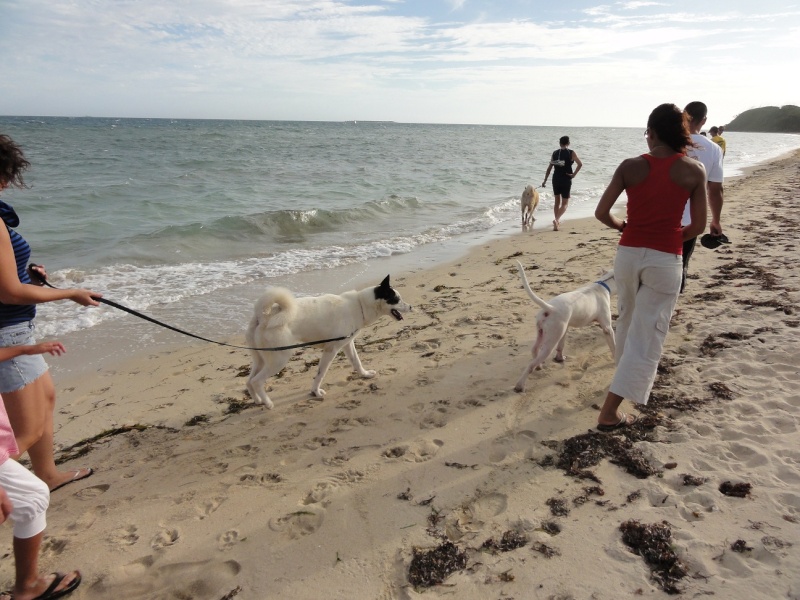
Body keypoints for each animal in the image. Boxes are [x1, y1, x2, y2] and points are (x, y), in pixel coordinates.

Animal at [245, 276, 412, 408]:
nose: (411, 306)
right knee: (257, 381)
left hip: (261, 358)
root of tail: (263, 316)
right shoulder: (331, 350)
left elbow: (356, 362)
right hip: (279, 359)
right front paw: (315, 392)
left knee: (249, 380)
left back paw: (258, 400)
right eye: (396, 299)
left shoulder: (347, 344)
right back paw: (268, 403)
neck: (360, 305)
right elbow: (321, 374)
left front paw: (364, 374)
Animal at [512, 258, 620, 392]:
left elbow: (561, 345)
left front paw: (559, 358)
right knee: (531, 364)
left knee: (534, 350)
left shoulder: (565, 327)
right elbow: (613, 345)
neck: (603, 285)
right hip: (551, 341)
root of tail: (550, 308)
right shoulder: (607, 328)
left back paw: (539, 366)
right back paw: (520, 385)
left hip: (544, 332)